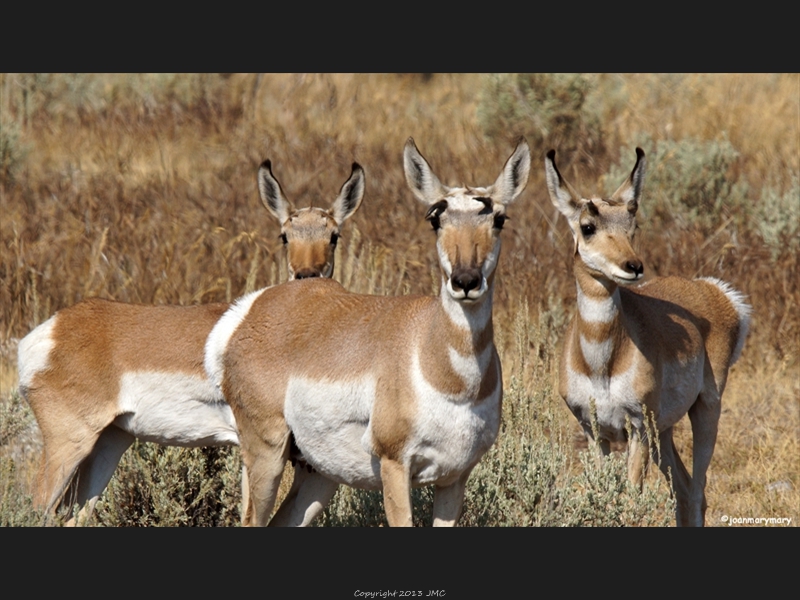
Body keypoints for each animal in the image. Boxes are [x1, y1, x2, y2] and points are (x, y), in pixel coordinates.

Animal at [17, 159, 364, 524]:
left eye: (334, 235)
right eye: (285, 235)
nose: (307, 274)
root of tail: (56, 326)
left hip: (109, 442)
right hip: (69, 443)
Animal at [206, 137, 532, 524]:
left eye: (499, 218)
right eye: (435, 219)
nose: (465, 280)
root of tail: (252, 312)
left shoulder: (454, 478)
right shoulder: (394, 466)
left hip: (316, 475)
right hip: (266, 455)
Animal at [544, 145, 752, 524]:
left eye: (633, 224)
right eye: (587, 226)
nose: (634, 266)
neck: (602, 364)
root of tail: (711, 290)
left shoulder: (637, 429)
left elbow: (628, 503)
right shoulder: (596, 433)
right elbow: (604, 499)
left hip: (706, 410)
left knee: (697, 492)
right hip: (664, 432)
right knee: (683, 489)